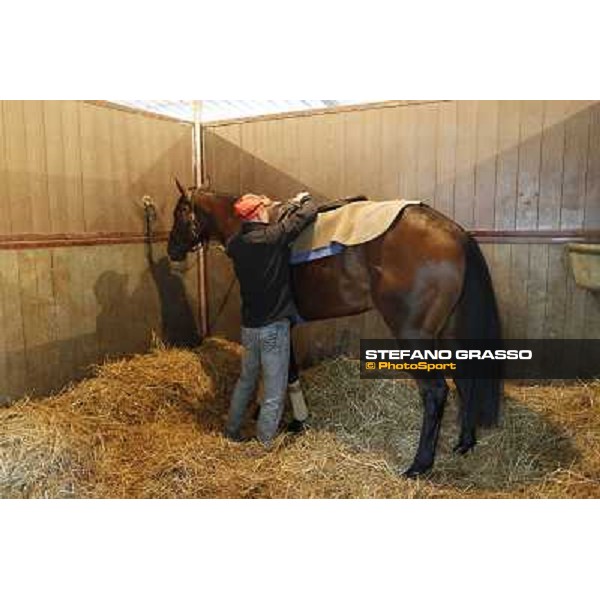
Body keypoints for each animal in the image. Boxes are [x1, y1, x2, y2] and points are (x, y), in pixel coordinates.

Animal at [168, 179, 502, 478]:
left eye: (179, 212)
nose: (172, 250)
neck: (255, 228)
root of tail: (456, 233)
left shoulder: (279, 323)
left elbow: (287, 372)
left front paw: (292, 421)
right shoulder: (286, 325)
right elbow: (288, 372)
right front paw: (294, 419)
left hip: (415, 337)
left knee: (435, 392)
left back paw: (419, 465)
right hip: (449, 333)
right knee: (465, 379)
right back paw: (464, 443)